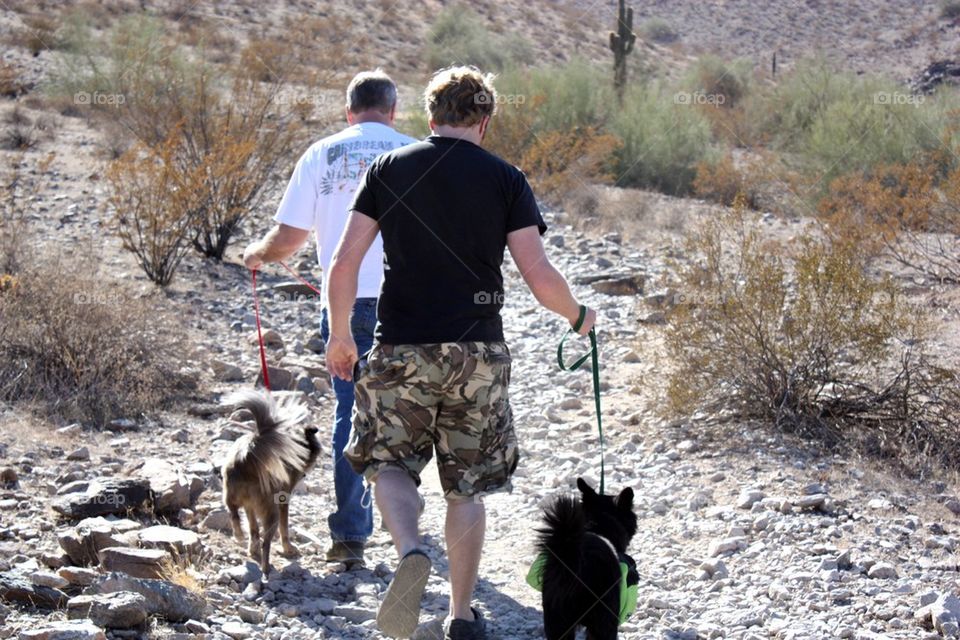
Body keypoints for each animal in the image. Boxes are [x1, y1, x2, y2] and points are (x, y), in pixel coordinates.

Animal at [222, 390, 322, 576]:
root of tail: (247, 457)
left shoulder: (250, 506)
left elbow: (253, 528)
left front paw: (251, 549)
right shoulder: (283, 499)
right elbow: (284, 527)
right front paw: (288, 548)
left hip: (231, 493)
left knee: (233, 513)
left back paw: (239, 534)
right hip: (271, 511)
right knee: (266, 542)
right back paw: (266, 568)